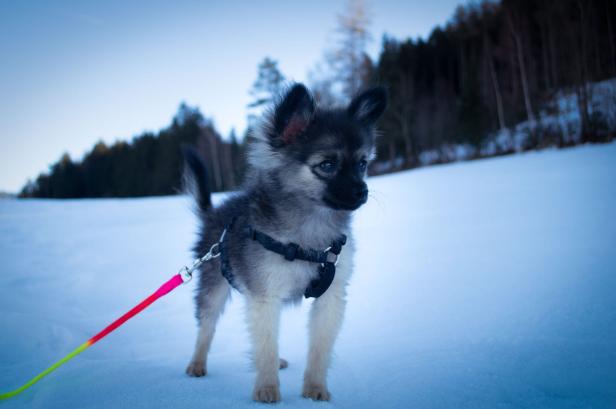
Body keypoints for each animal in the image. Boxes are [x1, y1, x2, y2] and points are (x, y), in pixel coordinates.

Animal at [182, 83, 384, 402]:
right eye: (327, 165)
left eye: (362, 164)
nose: (362, 191)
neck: (309, 233)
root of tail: (213, 213)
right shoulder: (264, 295)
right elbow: (265, 344)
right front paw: (266, 389)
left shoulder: (331, 297)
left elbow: (319, 349)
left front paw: (315, 389)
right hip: (213, 284)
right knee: (207, 326)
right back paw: (197, 364)